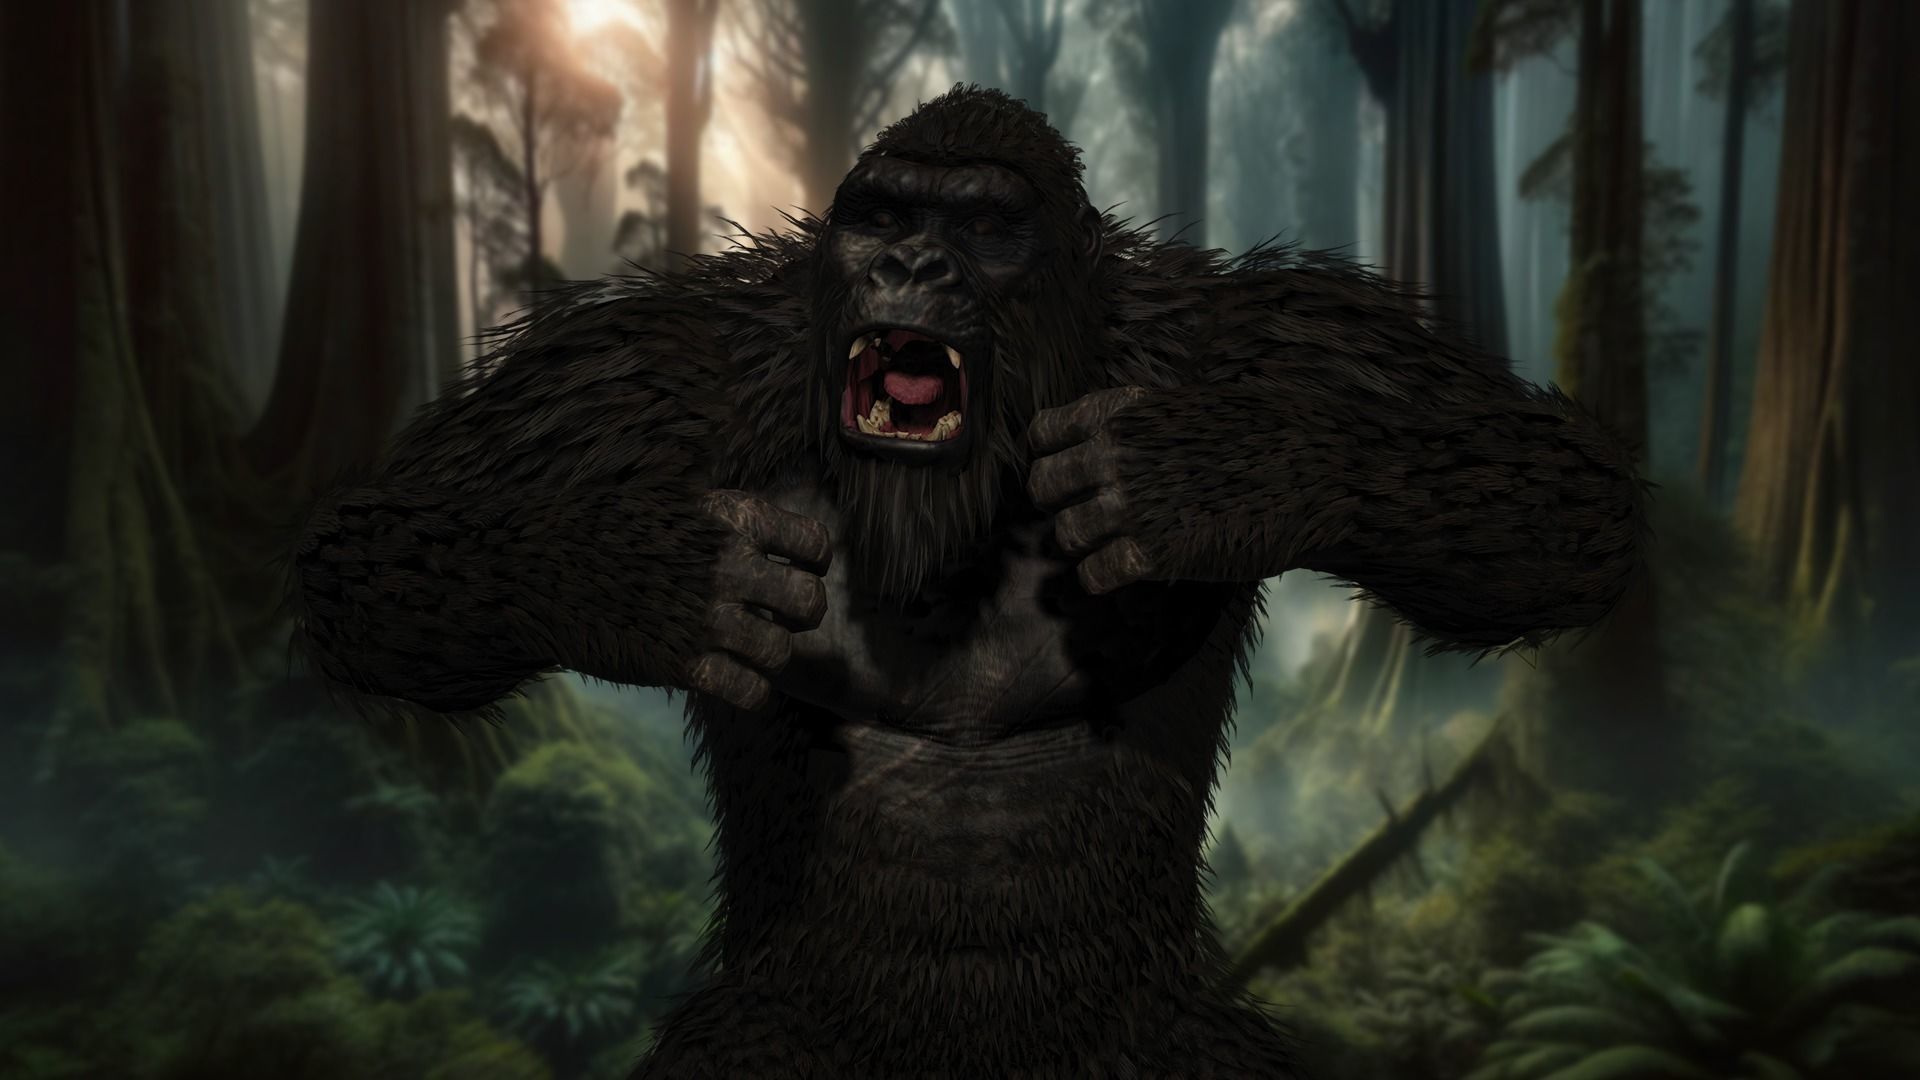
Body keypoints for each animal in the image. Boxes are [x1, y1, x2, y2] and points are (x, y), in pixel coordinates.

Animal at [291, 86, 1645, 1078]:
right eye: (883, 217)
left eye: (985, 231)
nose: (916, 272)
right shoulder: (660, 364)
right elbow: (385, 548)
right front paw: (650, 572)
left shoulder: (1264, 340)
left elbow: (1565, 498)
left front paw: (1210, 468)